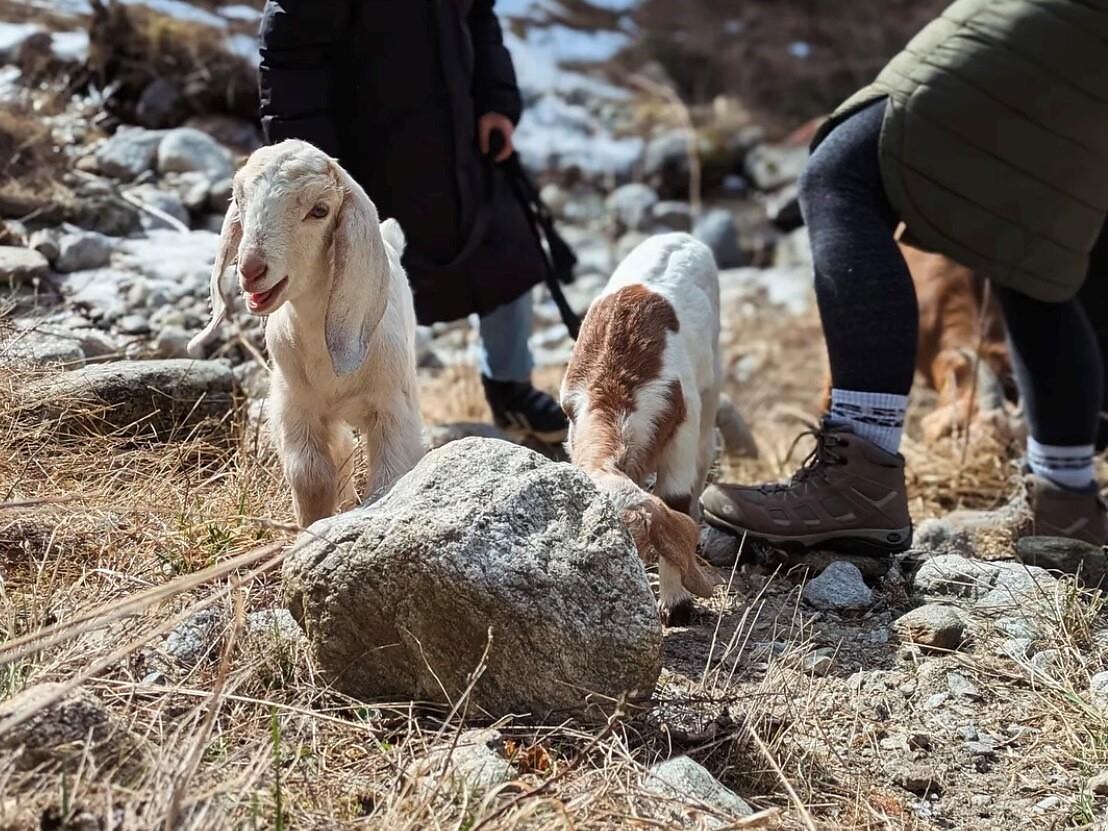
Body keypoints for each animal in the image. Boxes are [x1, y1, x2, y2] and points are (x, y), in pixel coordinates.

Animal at [188, 140, 425, 526]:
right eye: (239, 199)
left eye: (320, 210)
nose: (251, 269)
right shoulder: (294, 404)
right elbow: (310, 475)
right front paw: (313, 526)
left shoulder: (394, 407)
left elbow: (389, 478)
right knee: (342, 448)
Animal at [561, 233, 722, 625]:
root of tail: (681, 235)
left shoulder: (682, 432)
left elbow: (676, 499)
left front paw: (676, 604)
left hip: (713, 373)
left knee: (705, 449)